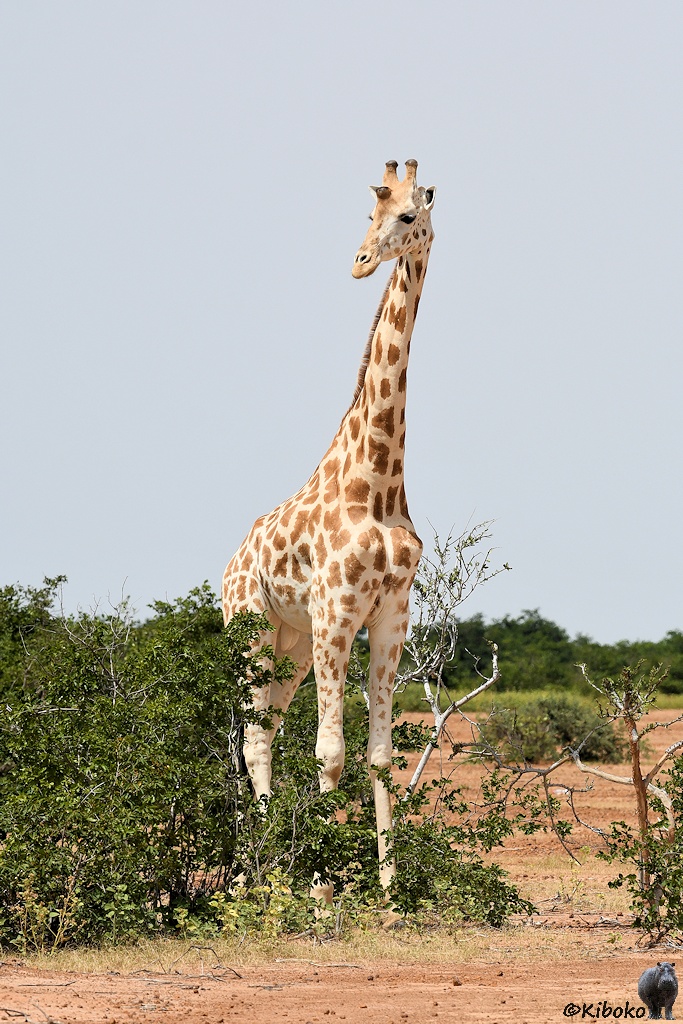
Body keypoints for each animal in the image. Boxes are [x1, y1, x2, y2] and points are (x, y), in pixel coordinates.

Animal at [222, 158, 436, 892]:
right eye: (369, 214)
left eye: (408, 214)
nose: (359, 262)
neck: (378, 483)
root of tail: (227, 567)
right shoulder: (335, 609)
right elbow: (329, 754)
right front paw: (321, 889)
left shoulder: (391, 611)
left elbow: (376, 755)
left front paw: (390, 888)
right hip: (253, 630)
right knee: (251, 738)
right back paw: (255, 882)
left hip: (289, 643)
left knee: (263, 735)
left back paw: (264, 875)